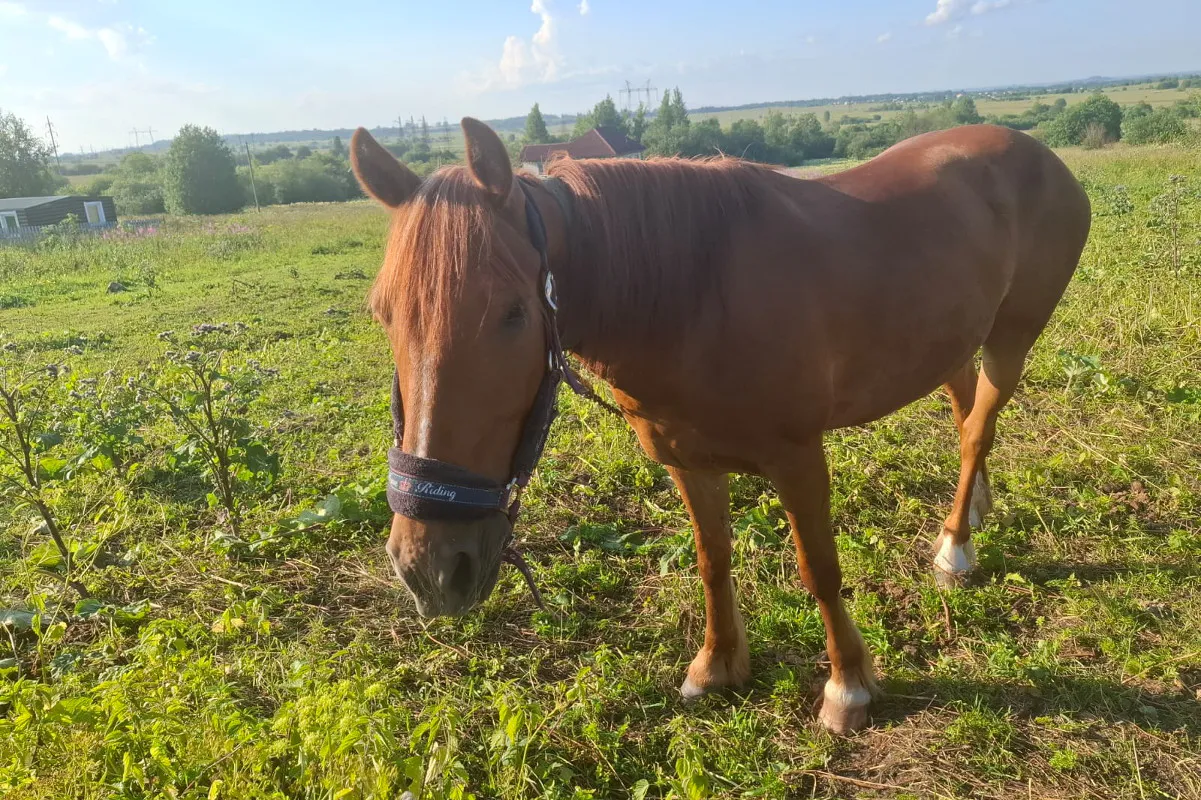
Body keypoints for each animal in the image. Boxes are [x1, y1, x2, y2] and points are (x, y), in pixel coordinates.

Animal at [351, 118, 1091, 733]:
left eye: (511, 313)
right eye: (383, 311)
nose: (428, 568)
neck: (694, 298)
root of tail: (1035, 152)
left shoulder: (797, 458)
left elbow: (819, 569)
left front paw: (847, 686)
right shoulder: (688, 461)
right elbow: (712, 562)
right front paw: (717, 666)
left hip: (1011, 339)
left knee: (977, 428)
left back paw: (955, 548)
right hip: (950, 339)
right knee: (963, 408)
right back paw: (971, 513)